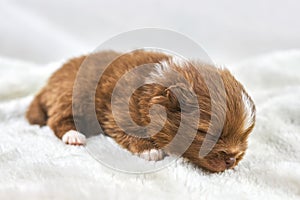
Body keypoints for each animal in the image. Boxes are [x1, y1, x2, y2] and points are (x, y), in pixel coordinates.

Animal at [26, 50, 255, 172]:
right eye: (205, 132)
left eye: (245, 135)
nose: (231, 160)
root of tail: (48, 84)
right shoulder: (119, 110)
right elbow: (130, 130)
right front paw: (149, 150)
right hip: (72, 96)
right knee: (57, 120)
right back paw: (74, 136)